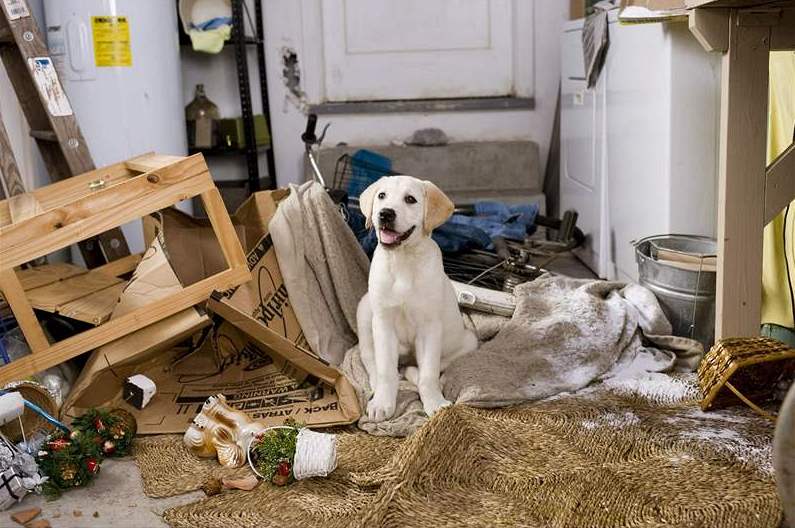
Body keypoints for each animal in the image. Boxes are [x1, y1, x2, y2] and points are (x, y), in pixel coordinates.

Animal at [356, 175, 478, 422]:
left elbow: (429, 372)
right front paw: (383, 402)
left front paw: (435, 402)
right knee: (369, 357)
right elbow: (385, 369)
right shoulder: (383, 323)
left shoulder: (430, 327)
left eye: (410, 199)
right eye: (381, 196)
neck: (403, 260)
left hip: (469, 340)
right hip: (364, 311)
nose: (385, 213)